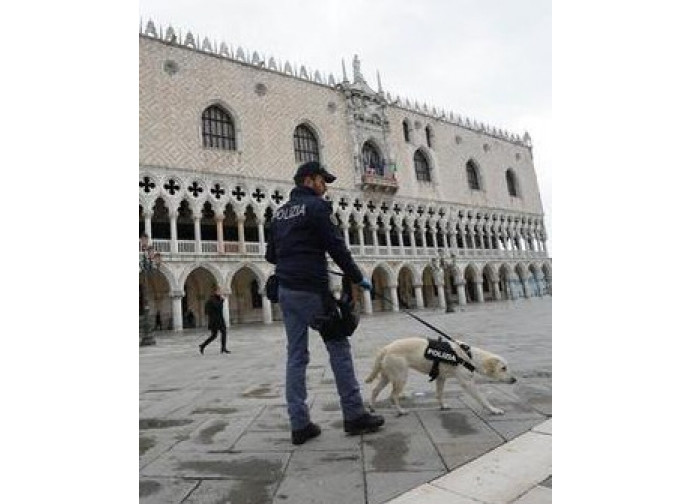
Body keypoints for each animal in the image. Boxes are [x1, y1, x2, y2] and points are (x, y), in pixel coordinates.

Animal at [362, 336, 512, 416]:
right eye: (503, 368)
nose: (514, 379)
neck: (469, 356)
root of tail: (386, 348)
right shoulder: (467, 383)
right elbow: (482, 398)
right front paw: (493, 410)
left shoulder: (441, 378)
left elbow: (439, 394)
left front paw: (442, 406)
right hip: (400, 377)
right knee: (393, 396)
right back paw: (401, 411)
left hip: (386, 376)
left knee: (375, 391)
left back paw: (372, 408)